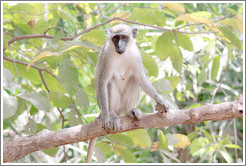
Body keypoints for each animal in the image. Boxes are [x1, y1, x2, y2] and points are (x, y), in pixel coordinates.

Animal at [86, 23, 169, 162]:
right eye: (115, 38)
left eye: (124, 37)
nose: (119, 45)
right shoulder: (107, 56)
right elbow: (103, 82)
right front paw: (107, 117)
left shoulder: (136, 54)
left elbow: (140, 78)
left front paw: (160, 100)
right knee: (110, 83)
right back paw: (112, 114)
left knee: (134, 79)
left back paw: (130, 111)